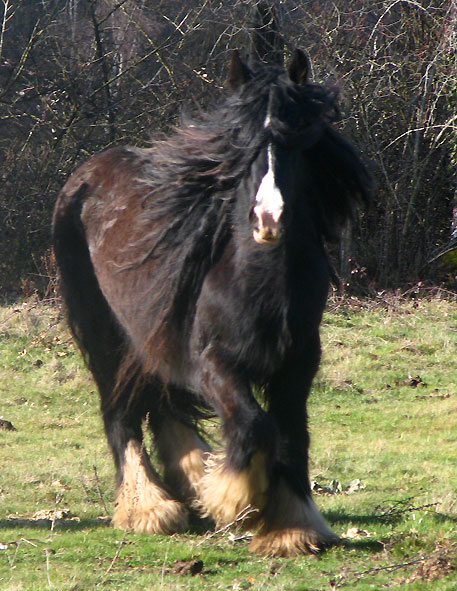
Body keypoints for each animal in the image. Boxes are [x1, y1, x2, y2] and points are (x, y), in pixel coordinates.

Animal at [51, 48, 368, 556]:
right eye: (241, 141)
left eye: (296, 141)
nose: (268, 219)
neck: (256, 283)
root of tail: (84, 177)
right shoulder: (214, 363)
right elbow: (254, 424)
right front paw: (238, 499)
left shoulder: (297, 363)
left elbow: (292, 434)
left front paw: (292, 525)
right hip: (104, 335)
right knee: (120, 415)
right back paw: (149, 508)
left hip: (151, 337)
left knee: (163, 406)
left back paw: (190, 482)